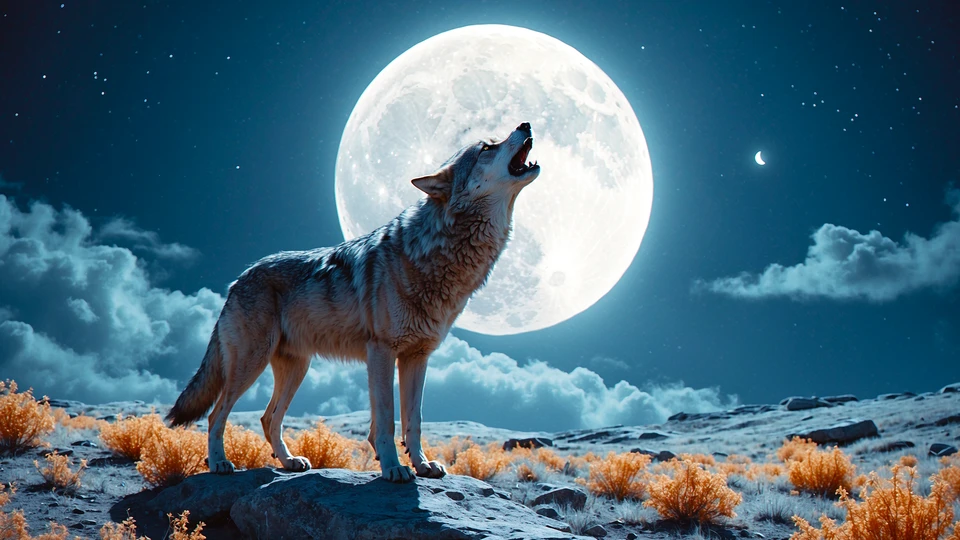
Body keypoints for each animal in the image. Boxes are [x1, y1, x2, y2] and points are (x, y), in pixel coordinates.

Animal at [166, 123, 540, 482]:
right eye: (487, 147)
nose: (526, 123)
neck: (436, 253)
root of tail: (237, 280)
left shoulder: (417, 357)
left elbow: (414, 420)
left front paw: (422, 466)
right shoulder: (381, 351)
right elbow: (387, 420)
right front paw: (393, 469)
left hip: (296, 368)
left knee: (267, 418)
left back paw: (289, 462)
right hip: (251, 364)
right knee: (217, 415)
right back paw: (219, 463)